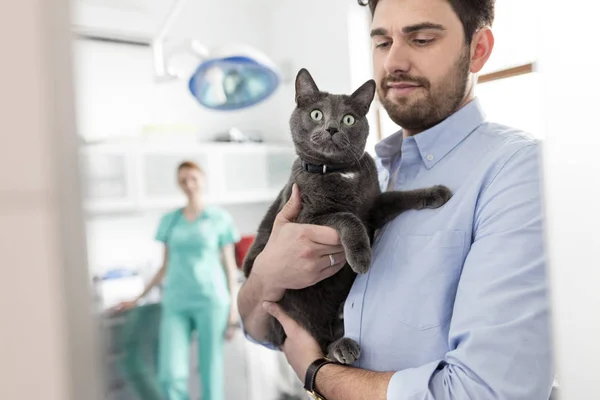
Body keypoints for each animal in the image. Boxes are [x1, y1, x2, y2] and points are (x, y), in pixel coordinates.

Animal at [241, 69, 452, 366]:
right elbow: (346, 217)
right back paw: (341, 348)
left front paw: (435, 192)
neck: (339, 172)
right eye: (316, 114)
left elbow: (396, 196)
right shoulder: (304, 220)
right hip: (294, 301)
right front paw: (361, 258)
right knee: (317, 339)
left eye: (348, 119)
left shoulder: (372, 208)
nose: (331, 128)